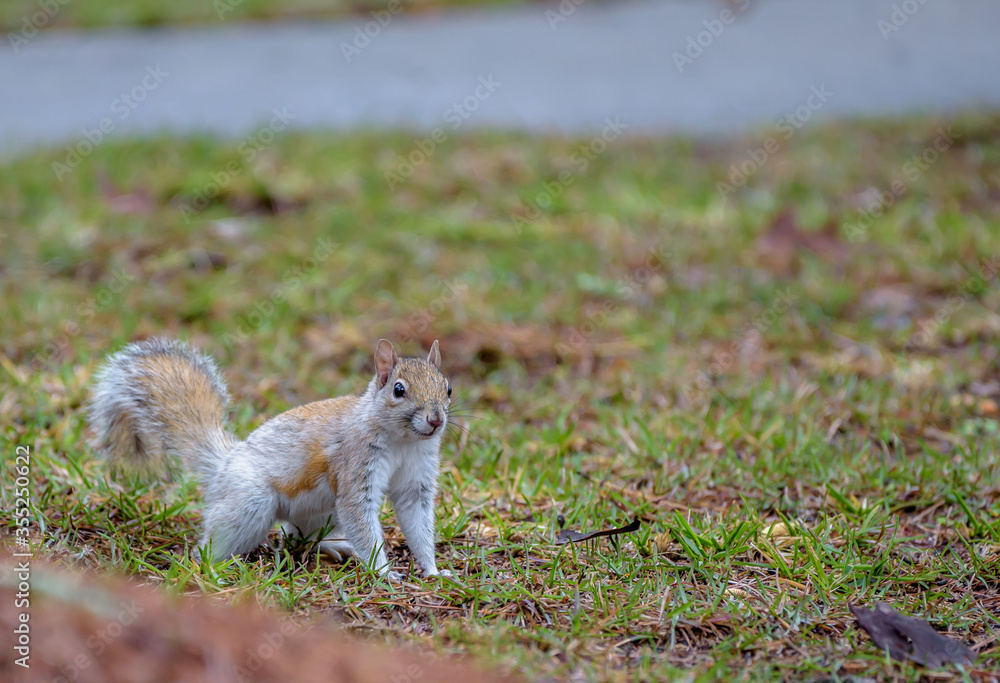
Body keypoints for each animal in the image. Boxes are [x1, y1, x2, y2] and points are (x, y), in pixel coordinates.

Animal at [88, 337, 453, 581]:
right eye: (399, 390)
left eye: (448, 388)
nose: (436, 420)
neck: (403, 442)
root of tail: (223, 466)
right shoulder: (355, 465)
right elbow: (361, 519)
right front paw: (384, 573)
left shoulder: (416, 482)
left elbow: (417, 523)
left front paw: (434, 571)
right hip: (249, 502)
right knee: (212, 543)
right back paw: (212, 567)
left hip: (320, 512)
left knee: (299, 537)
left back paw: (333, 546)